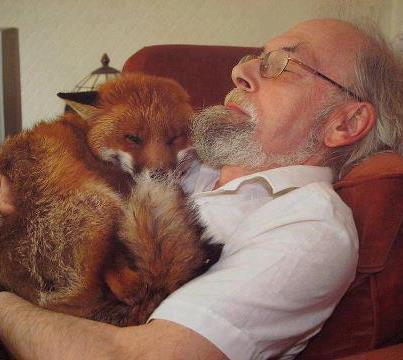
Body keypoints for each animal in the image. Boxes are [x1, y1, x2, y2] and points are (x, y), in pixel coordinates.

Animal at [0, 74, 223, 326]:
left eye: (174, 138)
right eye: (133, 138)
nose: (159, 175)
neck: (86, 140)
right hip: (105, 204)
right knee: (126, 278)